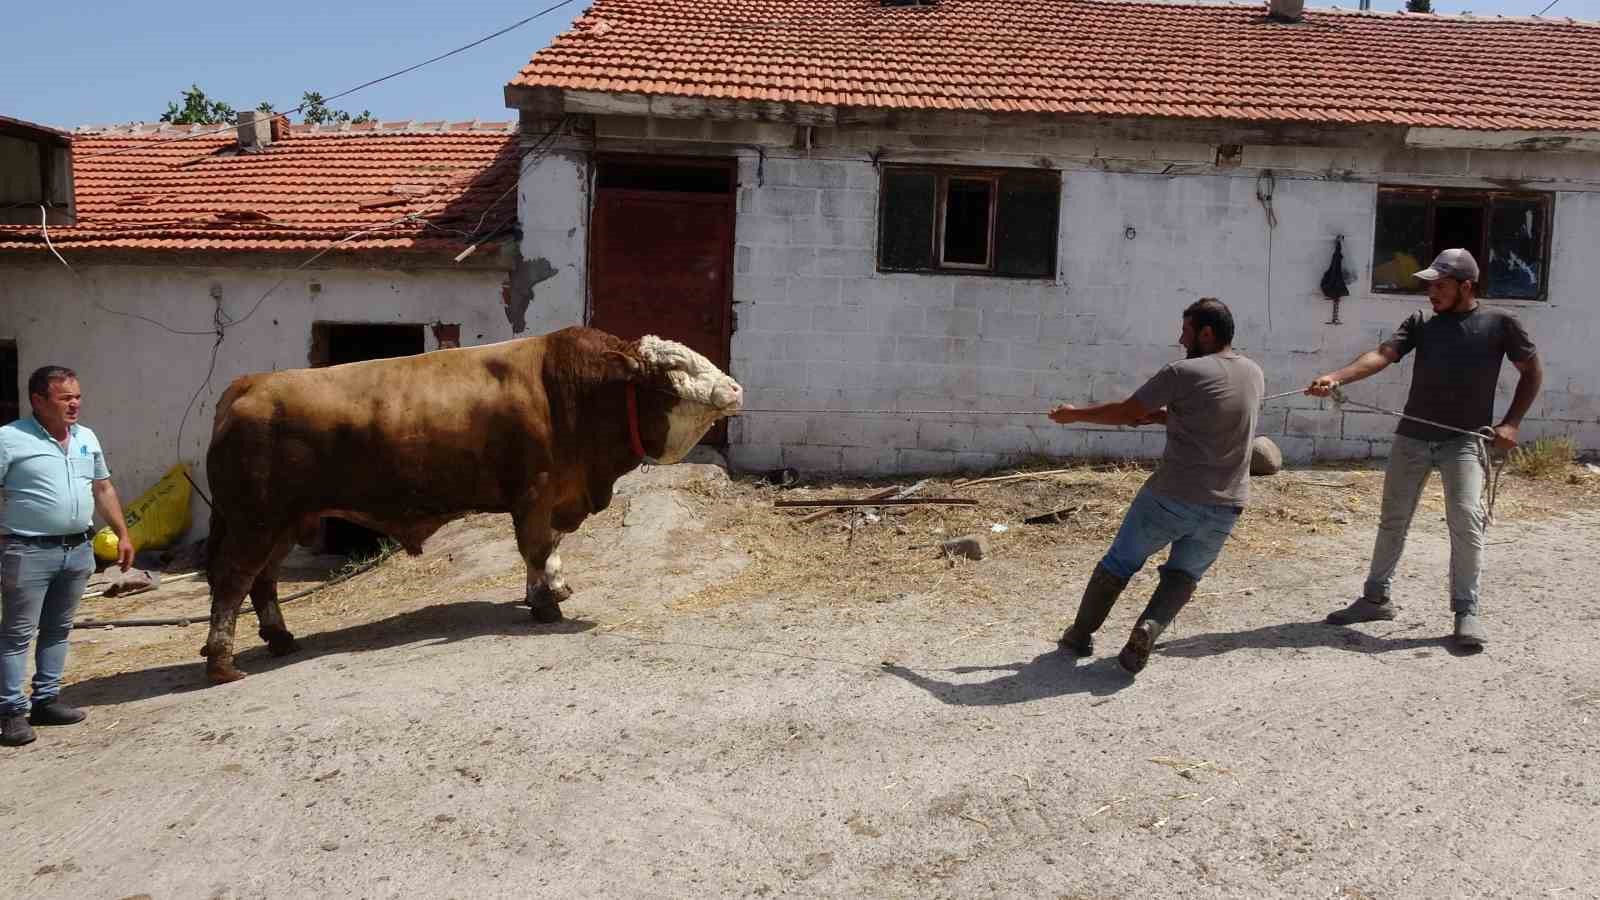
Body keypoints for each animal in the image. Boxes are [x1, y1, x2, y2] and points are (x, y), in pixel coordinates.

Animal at [200, 325, 742, 682]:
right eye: (674, 370)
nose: (736, 389)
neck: (577, 393)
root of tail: (250, 383)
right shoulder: (534, 492)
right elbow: (535, 548)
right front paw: (545, 604)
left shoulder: (559, 494)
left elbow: (550, 548)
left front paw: (555, 588)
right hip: (256, 522)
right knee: (232, 580)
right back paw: (223, 662)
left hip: (284, 523)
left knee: (263, 581)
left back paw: (280, 639)